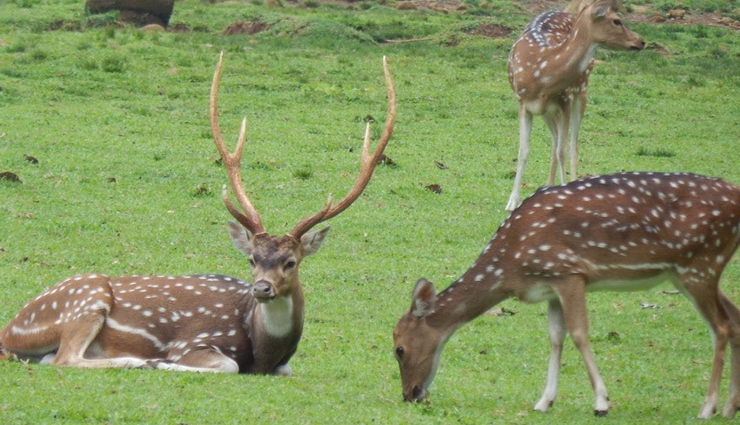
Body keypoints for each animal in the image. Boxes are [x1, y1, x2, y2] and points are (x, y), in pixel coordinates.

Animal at [0, 53, 396, 375]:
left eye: (291, 262)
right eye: (252, 259)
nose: (262, 288)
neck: (263, 351)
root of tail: (10, 331)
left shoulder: (281, 365)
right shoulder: (194, 341)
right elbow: (226, 365)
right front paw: (162, 362)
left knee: (50, 359)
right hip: (86, 300)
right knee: (64, 358)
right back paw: (139, 361)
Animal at [394, 172, 740, 419]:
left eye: (399, 349)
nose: (410, 394)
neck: (511, 265)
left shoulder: (569, 272)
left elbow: (579, 333)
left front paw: (601, 402)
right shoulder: (550, 288)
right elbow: (555, 338)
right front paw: (544, 401)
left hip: (700, 264)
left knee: (721, 327)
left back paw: (707, 408)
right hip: (693, 272)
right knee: (734, 319)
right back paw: (729, 407)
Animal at [504, 0, 645, 211]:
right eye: (616, 20)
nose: (641, 41)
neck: (541, 74)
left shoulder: (565, 100)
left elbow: (563, 151)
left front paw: (564, 191)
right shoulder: (523, 102)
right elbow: (524, 151)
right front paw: (512, 201)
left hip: (582, 90)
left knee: (572, 145)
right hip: (547, 110)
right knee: (555, 141)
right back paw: (547, 186)